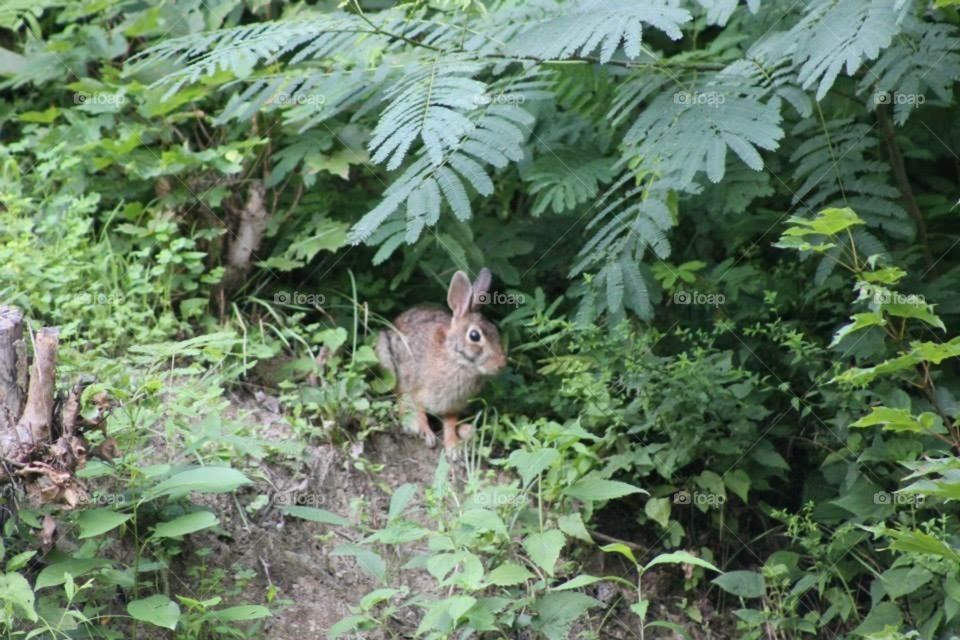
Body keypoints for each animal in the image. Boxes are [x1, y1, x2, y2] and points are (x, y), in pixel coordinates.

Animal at [376, 268, 510, 452]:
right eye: (474, 336)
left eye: (496, 332)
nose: (501, 364)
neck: (457, 361)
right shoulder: (416, 389)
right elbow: (420, 412)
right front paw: (426, 433)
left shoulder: (453, 405)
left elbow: (450, 423)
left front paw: (453, 447)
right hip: (388, 361)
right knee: (399, 396)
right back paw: (410, 424)